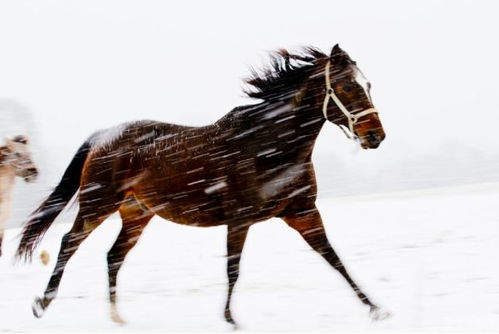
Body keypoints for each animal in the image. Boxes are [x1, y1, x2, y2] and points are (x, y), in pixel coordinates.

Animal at [16, 44, 390, 326]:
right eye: (346, 87)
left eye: (368, 85)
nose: (375, 136)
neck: (268, 146)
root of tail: (103, 136)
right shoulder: (239, 219)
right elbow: (233, 268)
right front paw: (230, 319)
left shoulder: (303, 212)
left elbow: (334, 258)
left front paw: (375, 307)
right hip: (98, 204)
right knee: (69, 243)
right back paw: (41, 303)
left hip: (137, 214)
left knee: (113, 256)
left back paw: (117, 316)